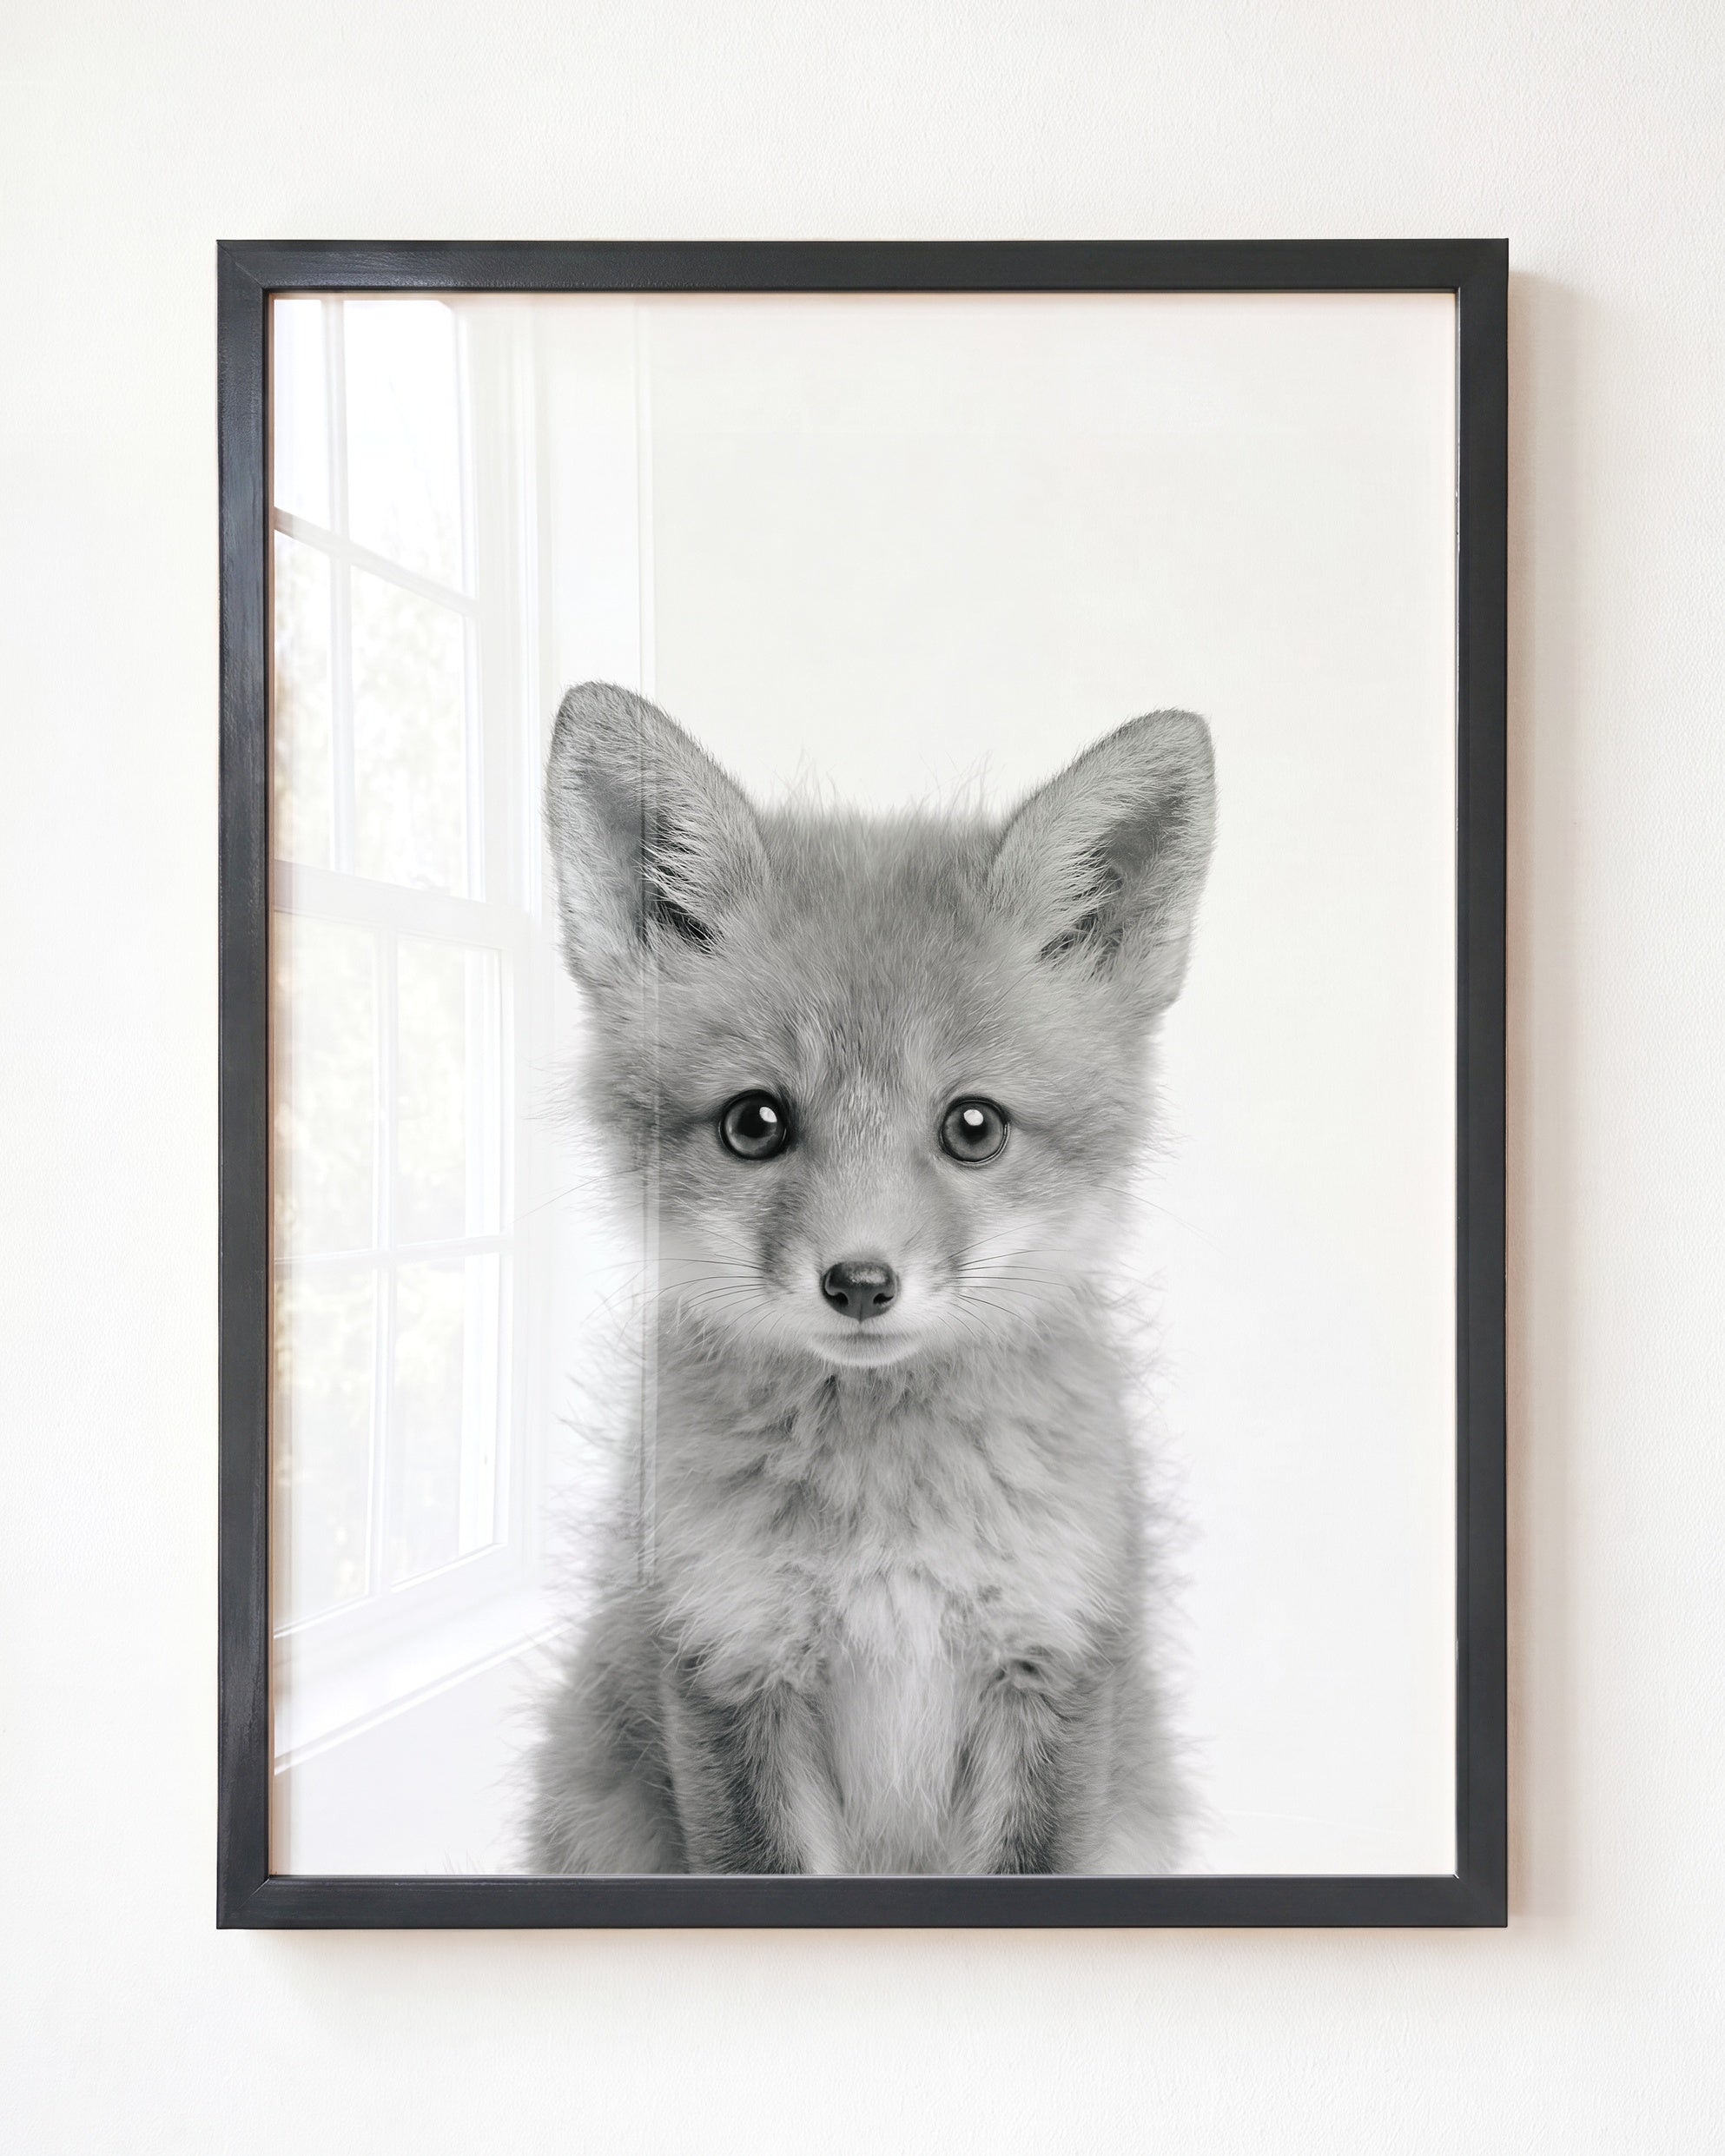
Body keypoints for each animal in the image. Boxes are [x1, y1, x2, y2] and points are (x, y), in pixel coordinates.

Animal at [525, 681, 1215, 1875]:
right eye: (755, 1123)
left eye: (973, 1127)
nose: (858, 1282)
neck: (890, 1526)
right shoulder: (728, 1662)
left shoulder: (1052, 1662)